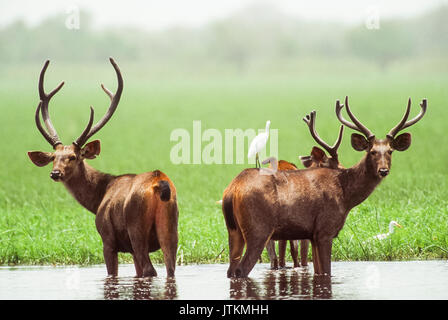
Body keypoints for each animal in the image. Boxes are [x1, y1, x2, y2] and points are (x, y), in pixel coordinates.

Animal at [27, 58, 178, 278]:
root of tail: (159, 183)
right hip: (170, 227)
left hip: (136, 228)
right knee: (169, 268)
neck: (98, 197)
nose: (55, 173)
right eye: (54, 157)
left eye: (73, 157)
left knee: (150, 270)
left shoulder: (107, 239)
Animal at [222, 97, 426, 278]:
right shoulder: (325, 230)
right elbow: (327, 271)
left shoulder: (312, 235)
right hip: (258, 228)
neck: (345, 195)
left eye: (390, 151)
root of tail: (232, 189)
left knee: (231, 270)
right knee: (241, 270)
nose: (383, 170)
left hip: (233, 231)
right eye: (372, 151)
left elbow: (319, 272)